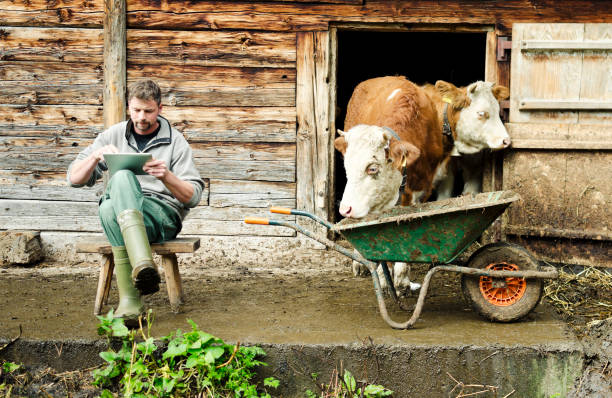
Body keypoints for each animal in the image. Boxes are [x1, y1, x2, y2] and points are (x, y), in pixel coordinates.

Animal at [338, 76, 510, 296]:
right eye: (482, 113)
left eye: (372, 168)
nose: (506, 140)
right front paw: (386, 279)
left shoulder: (427, 185)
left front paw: (402, 278)